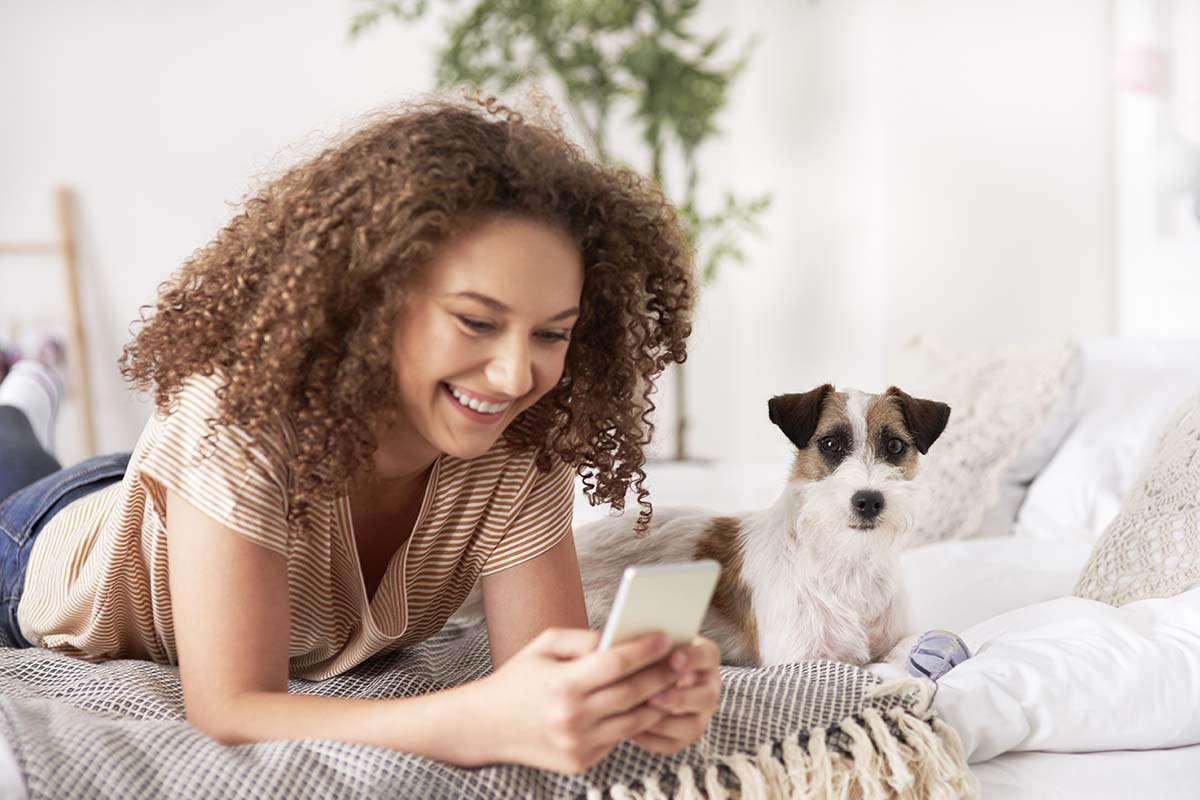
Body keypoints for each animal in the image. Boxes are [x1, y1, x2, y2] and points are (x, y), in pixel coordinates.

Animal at [576, 383, 950, 666]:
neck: (847, 560)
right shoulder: (803, 659)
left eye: (895, 445)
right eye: (830, 443)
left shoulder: (889, 642)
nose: (869, 501)